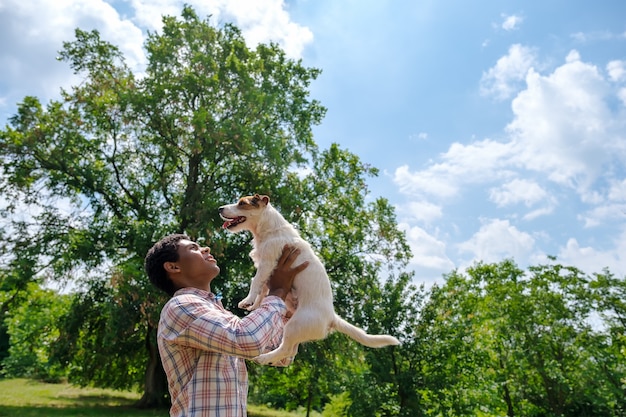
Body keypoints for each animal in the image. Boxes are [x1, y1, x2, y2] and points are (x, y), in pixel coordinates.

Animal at [217, 193, 398, 362]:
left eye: (242, 203)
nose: (219, 208)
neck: (270, 231)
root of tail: (331, 317)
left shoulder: (267, 264)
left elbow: (255, 282)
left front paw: (247, 300)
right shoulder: (265, 268)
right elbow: (262, 289)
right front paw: (255, 305)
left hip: (295, 325)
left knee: (286, 349)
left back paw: (264, 358)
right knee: (291, 350)